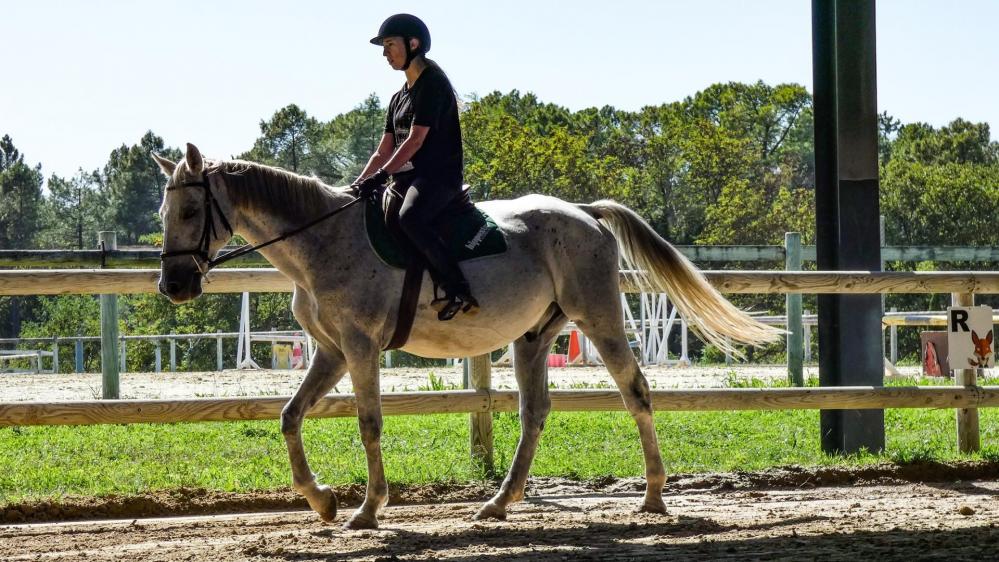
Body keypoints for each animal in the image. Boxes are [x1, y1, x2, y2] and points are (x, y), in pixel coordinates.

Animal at [154, 143, 780, 524]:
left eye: (189, 212)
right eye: (166, 212)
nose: (173, 284)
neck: (323, 241)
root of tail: (583, 212)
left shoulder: (359, 348)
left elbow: (368, 423)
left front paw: (369, 508)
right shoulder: (331, 352)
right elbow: (289, 417)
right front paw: (323, 500)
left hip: (598, 318)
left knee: (636, 392)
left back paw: (652, 495)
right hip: (534, 337)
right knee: (535, 411)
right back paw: (501, 501)